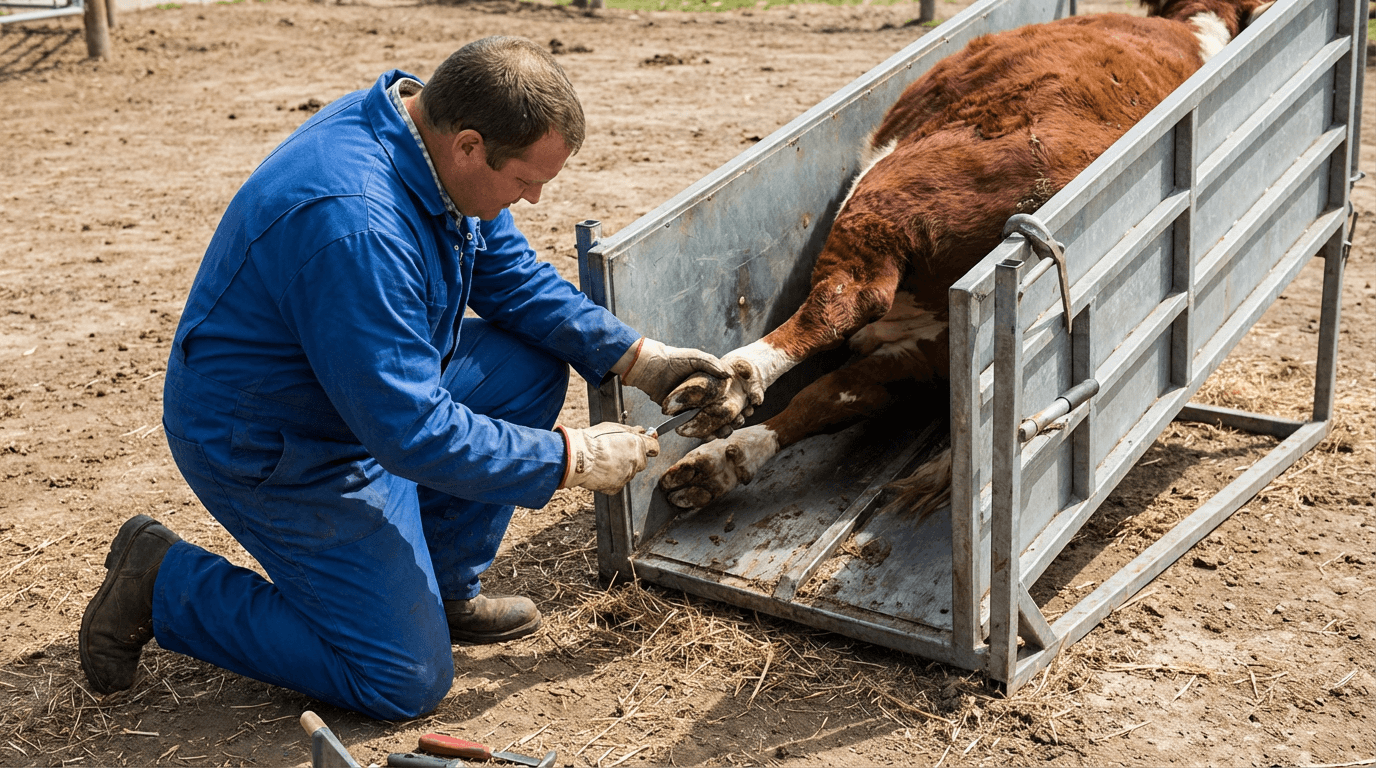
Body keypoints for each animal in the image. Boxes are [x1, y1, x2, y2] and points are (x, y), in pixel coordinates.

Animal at [655, 0, 1275, 512]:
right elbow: (833, 395)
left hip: (883, 208)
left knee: (840, 305)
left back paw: (723, 387)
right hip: (926, 348)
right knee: (834, 389)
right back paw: (719, 464)